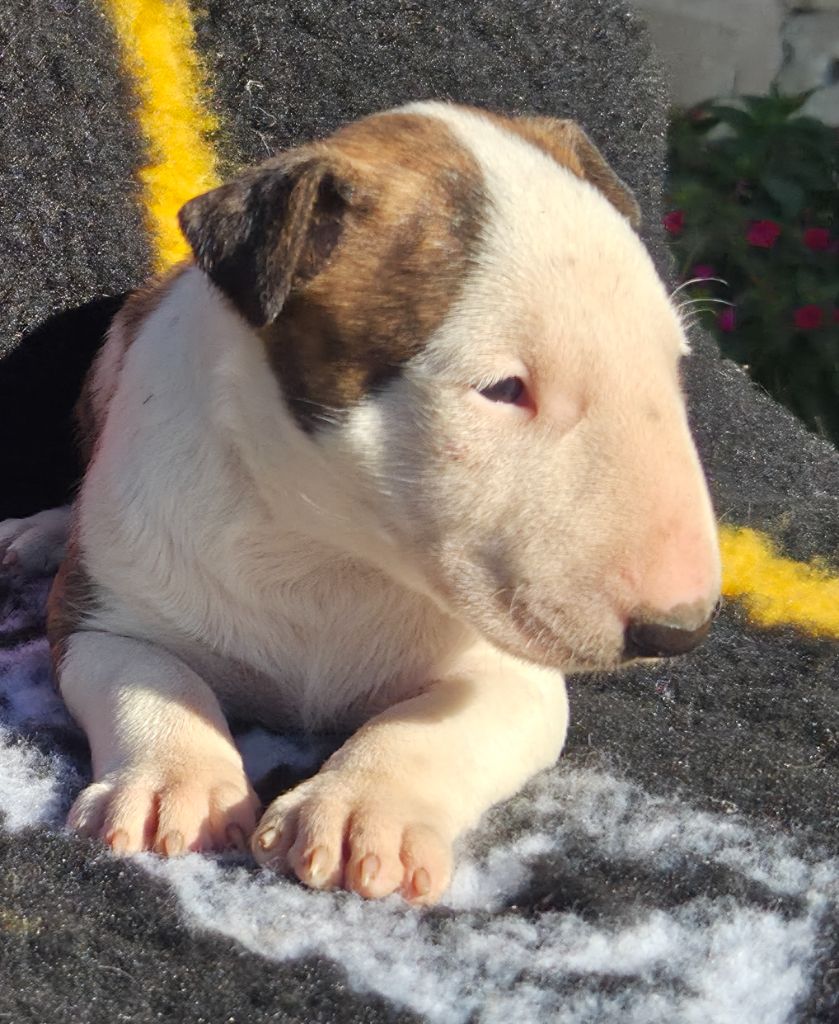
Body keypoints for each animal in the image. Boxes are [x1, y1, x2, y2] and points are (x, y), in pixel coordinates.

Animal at [0, 102, 720, 904]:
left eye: (672, 365)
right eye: (504, 388)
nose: (680, 631)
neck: (330, 547)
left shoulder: (516, 678)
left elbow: (437, 723)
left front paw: (362, 810)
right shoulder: (103, 618)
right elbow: (151, 676)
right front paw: (173, 785)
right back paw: (37, 536)